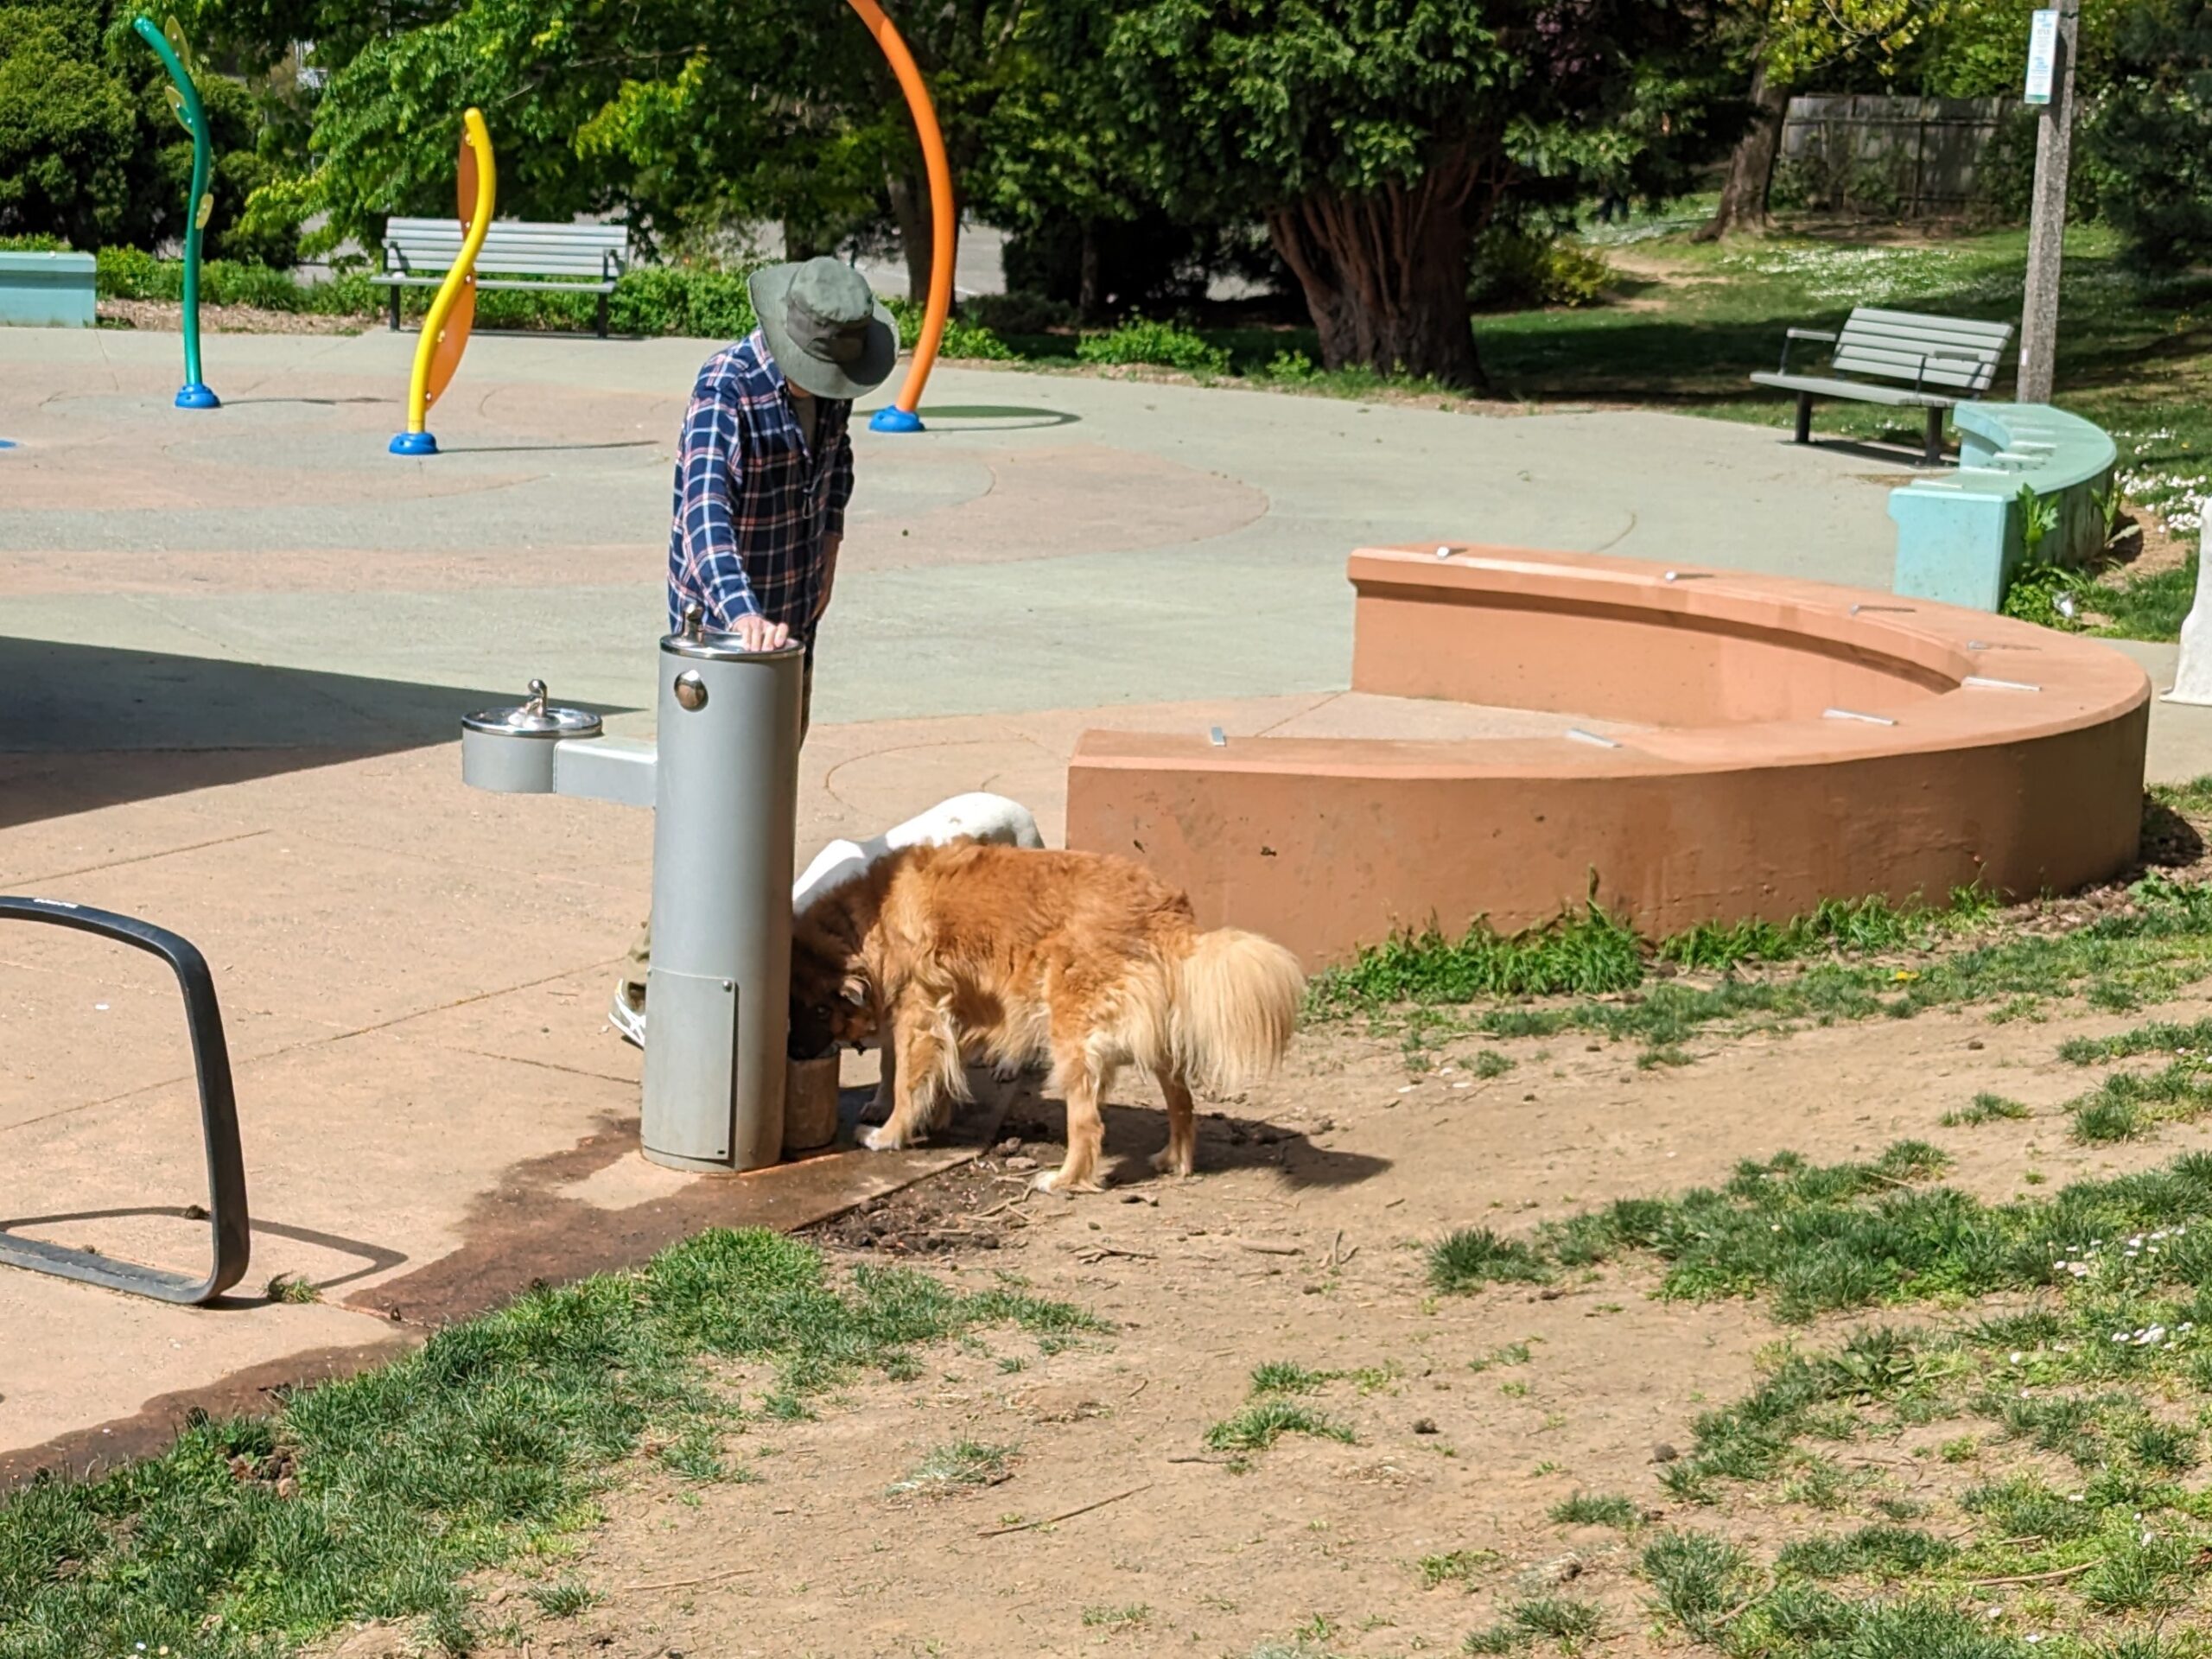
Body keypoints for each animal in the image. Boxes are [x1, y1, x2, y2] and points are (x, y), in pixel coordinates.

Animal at [796, 844, 1300, 1194]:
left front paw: (889, 1134)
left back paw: (1063, 1180)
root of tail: (1166, 913)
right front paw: (934, 1117)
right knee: (1182, 1101)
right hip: (1153, 1038)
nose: (796, 1052)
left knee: (1088, 1124)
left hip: (1071, 1036)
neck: (866, 919)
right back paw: (1174, 1159)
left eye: (816, 1009)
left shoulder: (918, 1014)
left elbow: (906, 1081)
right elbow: (935, 1071)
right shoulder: (952, 1013)